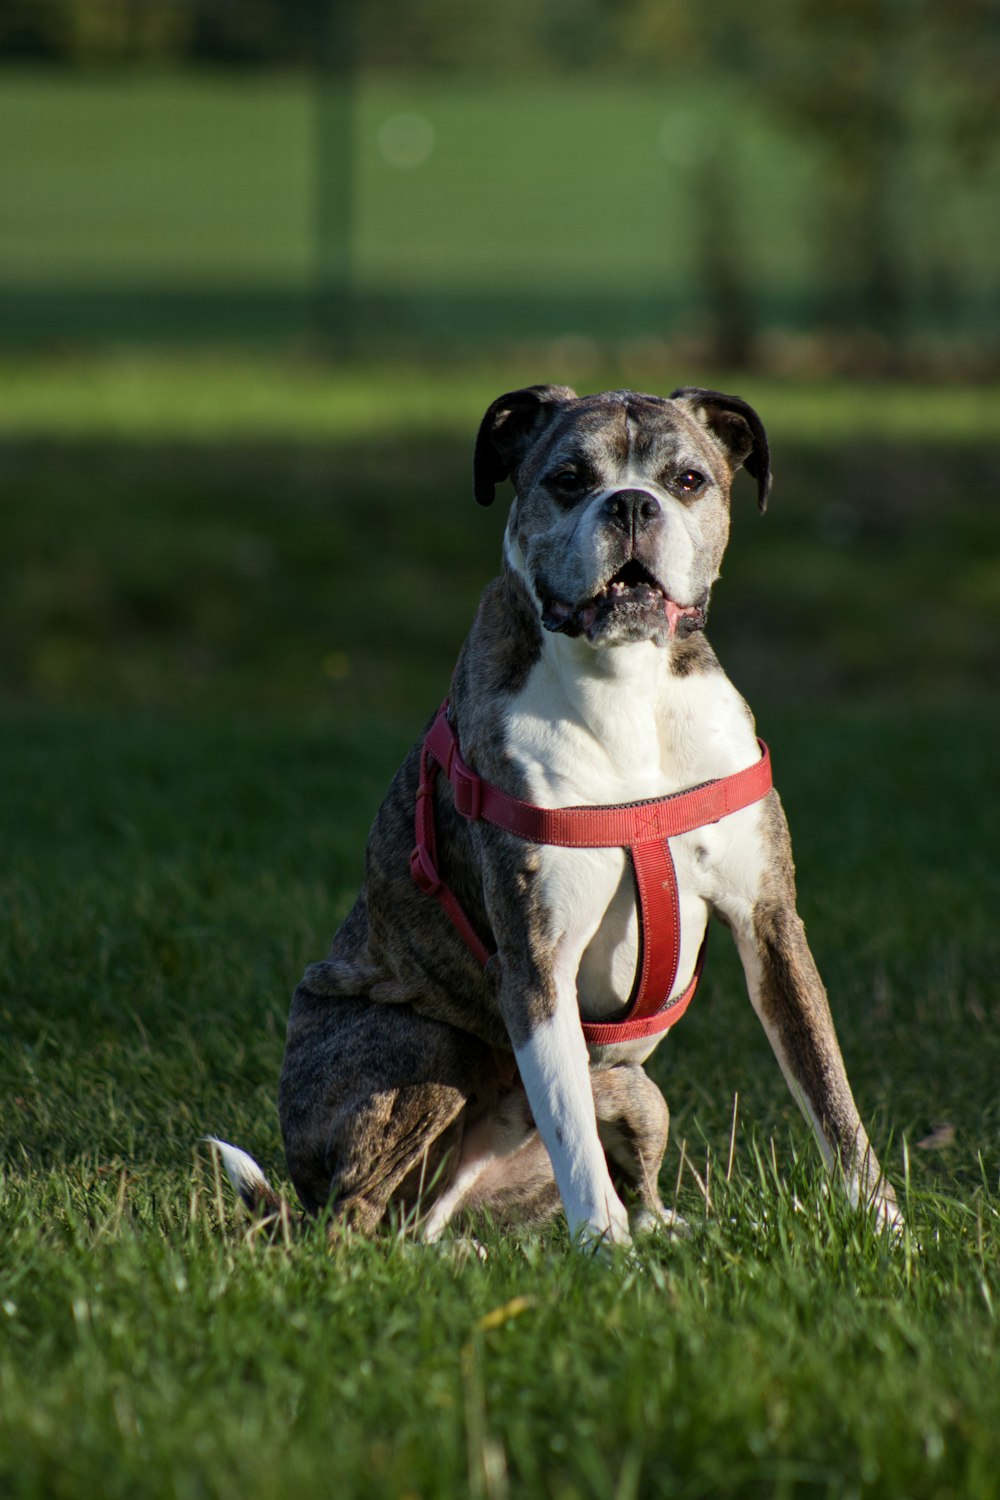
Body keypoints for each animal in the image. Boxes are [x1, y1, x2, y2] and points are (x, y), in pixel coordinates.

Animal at [215, 381, 905, 1248]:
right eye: (569, 479)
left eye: (688, 481)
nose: (633, 504)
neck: (629, 684)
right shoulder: (537, 961)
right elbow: (572, 1135)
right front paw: (609, 1256)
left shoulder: (771, 925)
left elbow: (831, 1095)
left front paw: (887, 1230)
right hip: (424, 1047)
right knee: (359, 1221)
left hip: (639, 1096)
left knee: (555, 1198)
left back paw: (660, 1229)